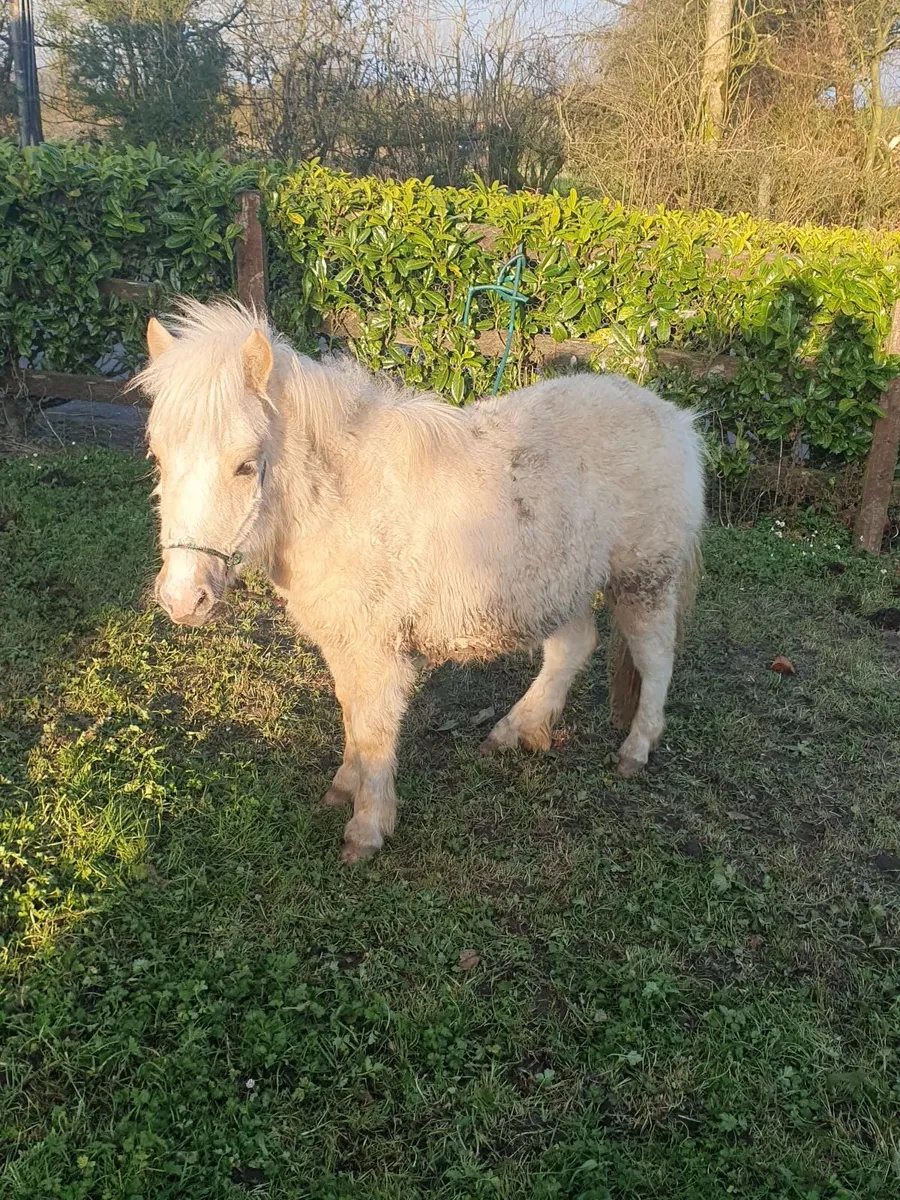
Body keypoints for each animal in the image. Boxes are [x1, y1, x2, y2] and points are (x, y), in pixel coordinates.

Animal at [138, 300, 705, 863]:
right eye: (158, 457)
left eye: (244, 465)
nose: (183, 599)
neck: (340, 499)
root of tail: (676, 422)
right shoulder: (345, 641)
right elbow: (352, 712)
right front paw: (344, 788)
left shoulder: (377, 647)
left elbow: (374, 728)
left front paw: (367, 828)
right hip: (556, 585)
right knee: (574, 646)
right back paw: (515, 730)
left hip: (643, 579)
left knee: (655, 658)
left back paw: (635, 750)